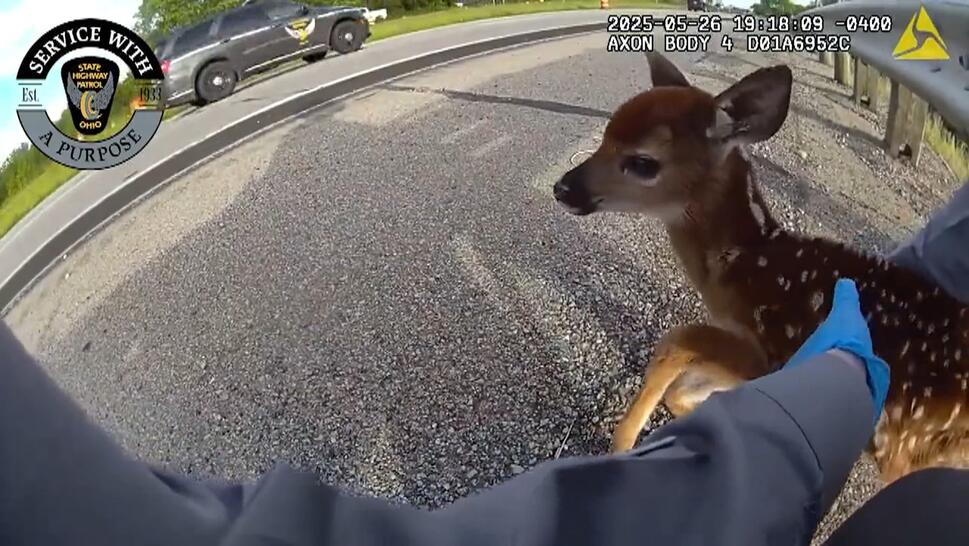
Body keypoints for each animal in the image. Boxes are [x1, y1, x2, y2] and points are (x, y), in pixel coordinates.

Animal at [552, 52, 969, 485]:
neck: (748, 260)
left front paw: (624, 441)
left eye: (643, 161)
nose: (563, 188)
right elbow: (689, 379)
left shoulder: (776, 345)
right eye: (605, 134)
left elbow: (678, 340)